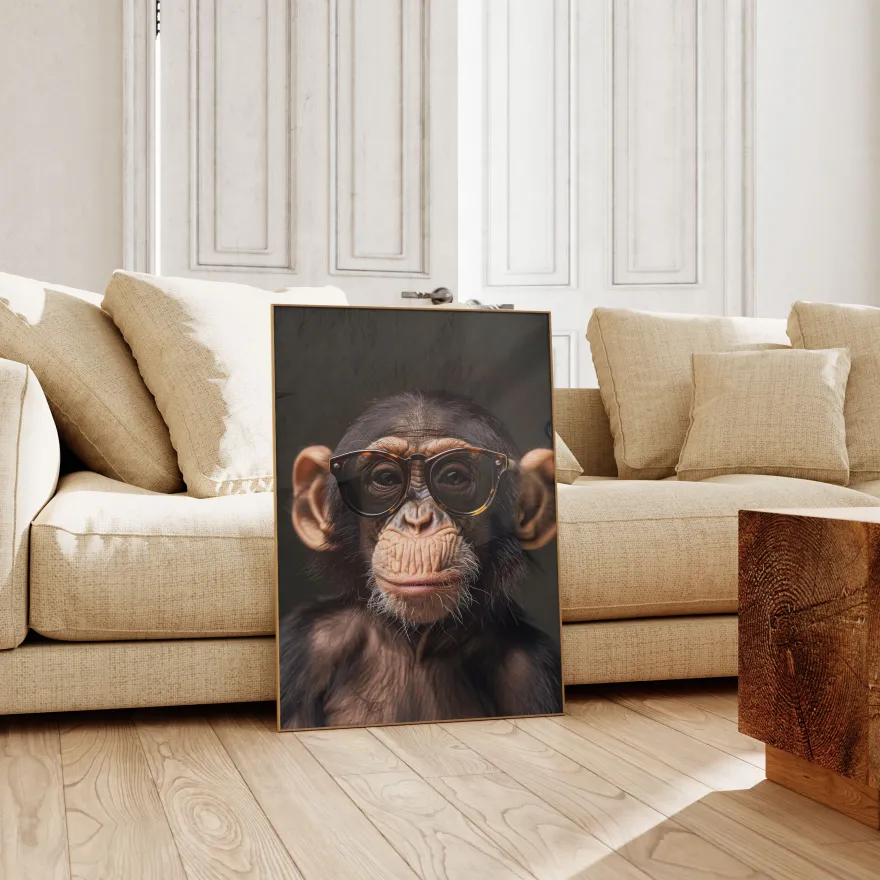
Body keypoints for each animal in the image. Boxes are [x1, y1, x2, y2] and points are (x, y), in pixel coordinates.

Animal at [278, 390, 561, 730]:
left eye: (453, 476)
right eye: (386, 477)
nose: (418, 520)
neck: (417, 644)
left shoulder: (533, 670)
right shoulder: (305, 644)